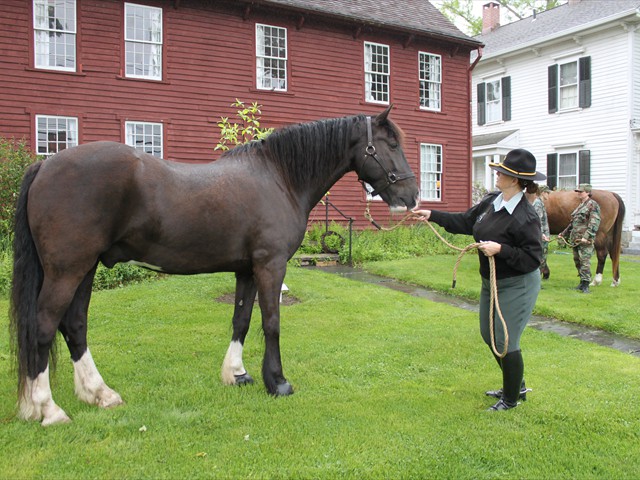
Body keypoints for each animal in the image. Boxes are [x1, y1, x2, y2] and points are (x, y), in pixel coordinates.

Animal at [10, 106, 419, 426]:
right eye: (391, 145)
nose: (411, 195)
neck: (279, 178)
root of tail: (45, 164)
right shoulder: (270, 266)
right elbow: (271, 323)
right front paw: (278, 382)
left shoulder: (246, 269)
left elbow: (241, 319)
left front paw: (237, 374)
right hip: (67, 270)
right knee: (44, 326)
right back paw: (48, 409)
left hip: (86, 269)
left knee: (74, 325)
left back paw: (99, 394)